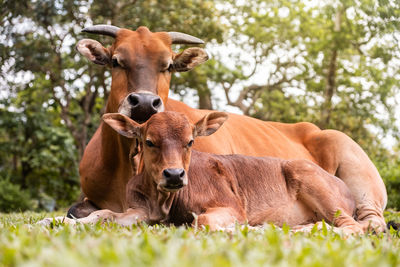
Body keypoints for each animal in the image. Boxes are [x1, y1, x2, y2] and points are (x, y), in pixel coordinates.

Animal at [72, 24, 388, 232]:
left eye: (169, 65)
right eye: (116, 61)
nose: (145, 103)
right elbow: (83, 212)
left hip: (356, 174)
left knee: (370, 222)